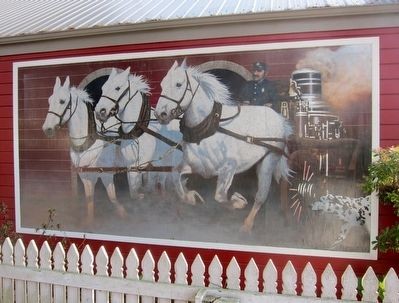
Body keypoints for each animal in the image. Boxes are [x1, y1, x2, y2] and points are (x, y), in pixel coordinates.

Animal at [42, 76, 126, 223]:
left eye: (62, 101)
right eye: (49, 100)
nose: (47, 129)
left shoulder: (106, 175)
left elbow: (112, 198)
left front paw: (124, 214)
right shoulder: (85, 176)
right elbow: (89, 200)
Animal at [94, 68, 182, 196]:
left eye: (117, 88)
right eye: (103, 88)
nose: (100, 111)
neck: (139, 130)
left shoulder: (145, 166)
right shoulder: (132, 166)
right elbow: (134, 192)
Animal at [155, 59, 292, 233]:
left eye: (178, 84)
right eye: (162, 83)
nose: (160, 114)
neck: (208, 130)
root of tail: (279, 117)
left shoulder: (228, 167)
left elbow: (220, 196)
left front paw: (238, 201)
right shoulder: (196, 166)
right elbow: (175, 176)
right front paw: (191, 196)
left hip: (270, 159)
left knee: (261, 194)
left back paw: (248, 225)